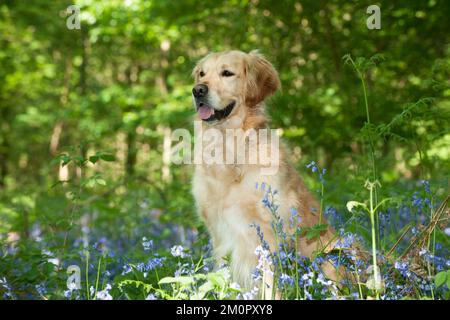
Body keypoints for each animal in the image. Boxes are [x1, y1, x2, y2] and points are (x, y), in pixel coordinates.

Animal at [190, 50, 342, 298]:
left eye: (227, 73)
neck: (230, 152)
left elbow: (269, 282)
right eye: (202, 74)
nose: (197, 90)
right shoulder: (218, 232)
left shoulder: (266, 234)